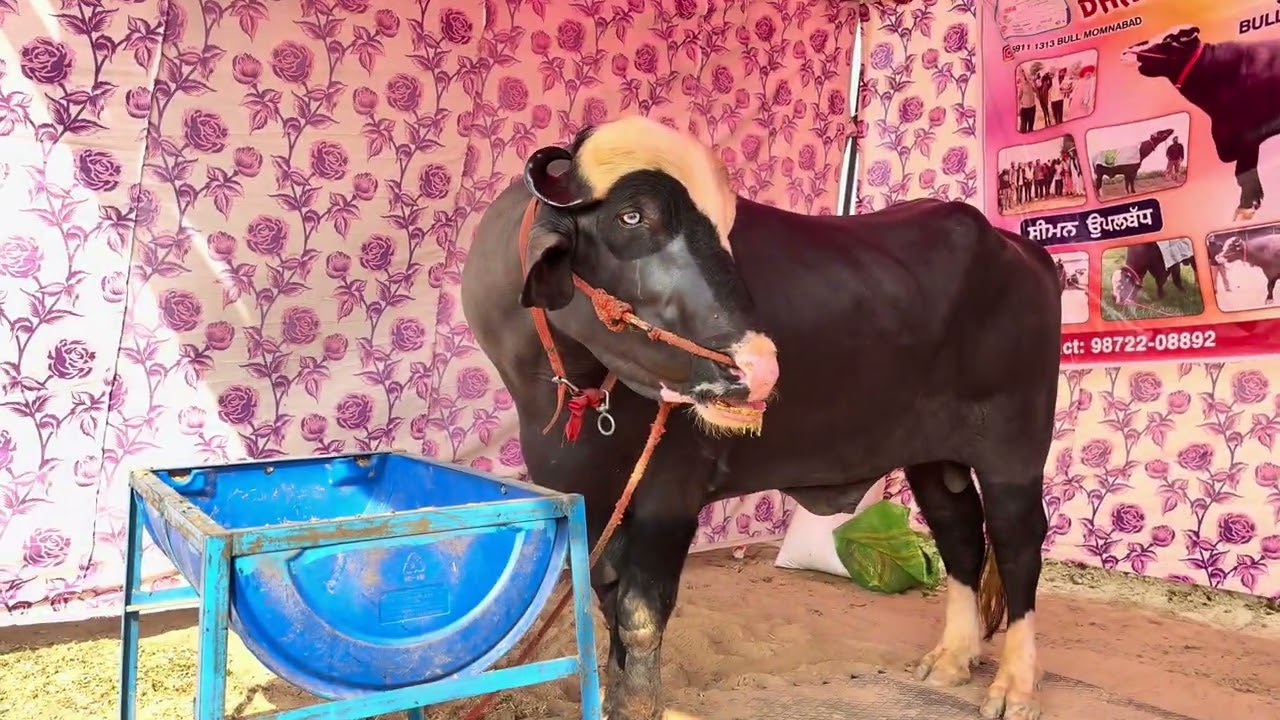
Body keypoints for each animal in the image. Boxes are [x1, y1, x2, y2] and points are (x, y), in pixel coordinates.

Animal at [460, 115, 1062, 720]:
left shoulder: (669, 492)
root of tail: (1018, 249)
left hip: (1014, 446)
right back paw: (952, 659)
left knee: (1017, 542)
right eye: (631, 216)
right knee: (958, 531)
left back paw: (1014, 684)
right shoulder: (593, 496)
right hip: (933, 457)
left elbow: (640, 613)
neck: (570, 387)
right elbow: (607, 601)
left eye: (724, 228)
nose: (758, 367)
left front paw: (639, 703)